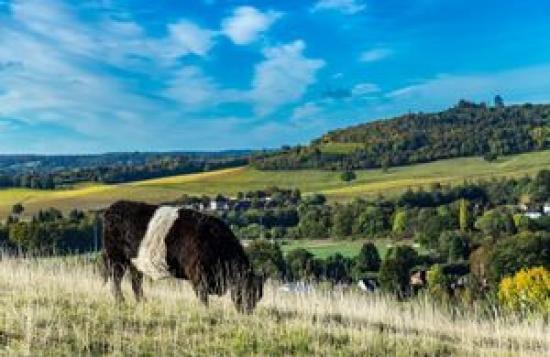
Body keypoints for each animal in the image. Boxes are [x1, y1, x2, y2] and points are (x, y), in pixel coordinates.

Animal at [101, 199, 266, 312]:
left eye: (258, 295)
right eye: (246, 291)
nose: (247, 312)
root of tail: (113, 207)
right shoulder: (198, 276)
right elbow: (203, 298)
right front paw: (206, 313)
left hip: (136, 262)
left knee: (136, 283)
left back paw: (142, 303)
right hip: (116, 258)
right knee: (116, 280)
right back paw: (121, 302)